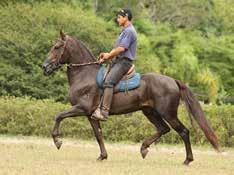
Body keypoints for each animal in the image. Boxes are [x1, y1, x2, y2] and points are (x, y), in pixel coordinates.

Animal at [42, 31, 221, 165]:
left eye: (57, 47)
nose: (45, 67)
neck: (84, 75)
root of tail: (173, 81)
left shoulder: (81, 108)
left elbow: (59, 116)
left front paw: (57, 141)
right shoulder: (90, 115)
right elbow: (98, 135)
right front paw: (103, 156)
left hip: (168, 113)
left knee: (183, 131)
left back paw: (187, 160)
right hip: (150, 112)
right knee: (163, 129)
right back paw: (144, 148)